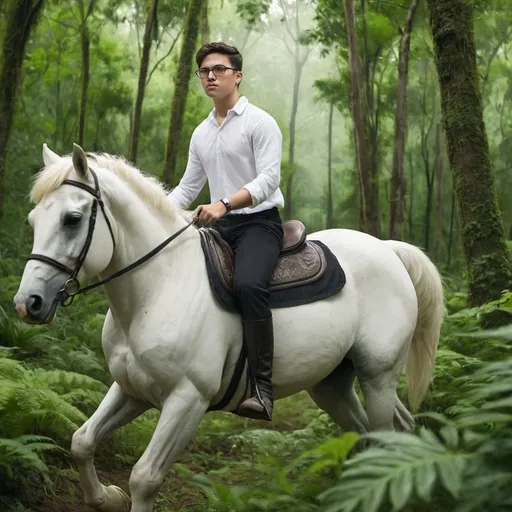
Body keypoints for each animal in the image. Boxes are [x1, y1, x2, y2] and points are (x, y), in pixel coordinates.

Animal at [12, 144, 444, 512]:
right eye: (33, 219)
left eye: (72, 219)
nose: (27, 303)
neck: (160, 285)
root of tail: (387, 248)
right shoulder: (132, 389)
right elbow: (82, 441)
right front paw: (106, 497)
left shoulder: (187, 399)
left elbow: (145, 477)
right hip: (333, 384)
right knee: (383, 432)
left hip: (378, 376)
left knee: (385, 437)